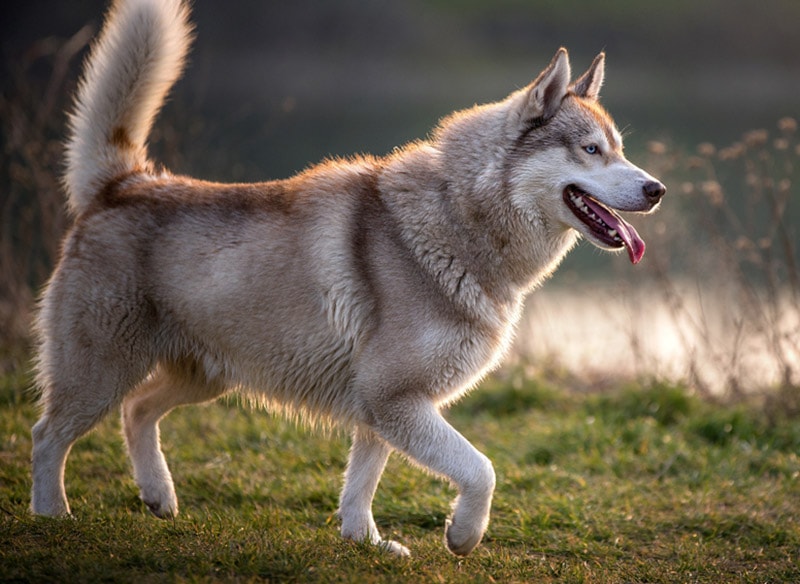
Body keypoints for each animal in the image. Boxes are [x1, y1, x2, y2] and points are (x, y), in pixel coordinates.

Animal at [31, 0, 664, 556]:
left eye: (620, 150)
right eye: (590, 149)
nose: (655, 189)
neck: (458, 219)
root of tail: (124, 183)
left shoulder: (381, 407)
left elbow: (362, 482)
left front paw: (366, 542)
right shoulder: (392, 398)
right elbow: (480, 470)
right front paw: (463, 535)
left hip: (205, 374)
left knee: (137, 410)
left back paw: (158, 497)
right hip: (100, 370)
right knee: (48, 436)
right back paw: (51, 515)